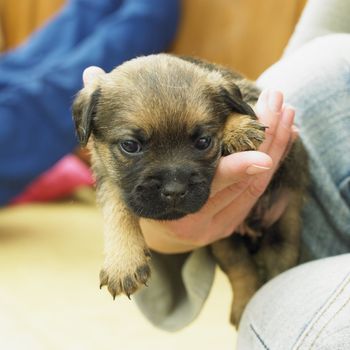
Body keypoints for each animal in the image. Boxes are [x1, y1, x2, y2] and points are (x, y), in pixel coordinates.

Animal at [72, 53, 308, 326]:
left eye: (203, 142)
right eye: (130, 146)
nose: (174, 190)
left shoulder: (249, 92)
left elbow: (244, 105)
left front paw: (237, 128)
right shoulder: (104, 172)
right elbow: (116, 207)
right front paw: (123, 261)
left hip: (284, 235)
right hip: (225, 244)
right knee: (242, 269)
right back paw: (243, 305)